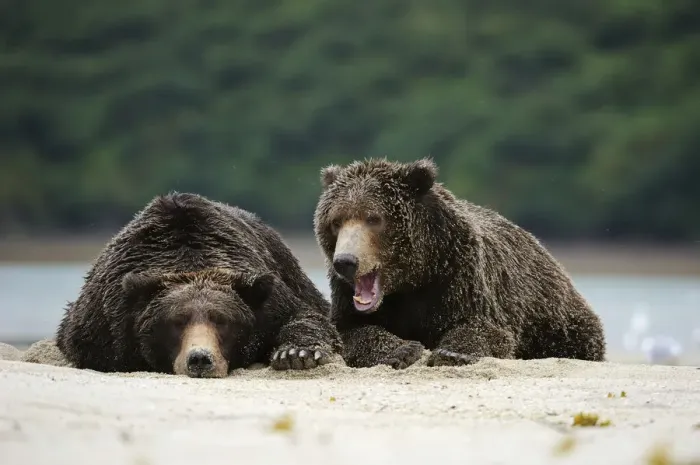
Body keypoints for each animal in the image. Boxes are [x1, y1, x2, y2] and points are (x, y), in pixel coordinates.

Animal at [56, 192, 342, 377]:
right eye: (176, 321)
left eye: (222, 320)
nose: (200, 359)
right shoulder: (106, 320)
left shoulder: (268, 300)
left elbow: (305, 316)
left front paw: (296, 354)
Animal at [313, 157, 606, 369]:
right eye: (336, 221)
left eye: (374, 218)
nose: (346, 261)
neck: (414, 278)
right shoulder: (346, 295)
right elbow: (348, 330)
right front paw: (402, 350)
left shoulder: (458, 276)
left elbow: (484, 328)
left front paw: (452, 353)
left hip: (554, 319)